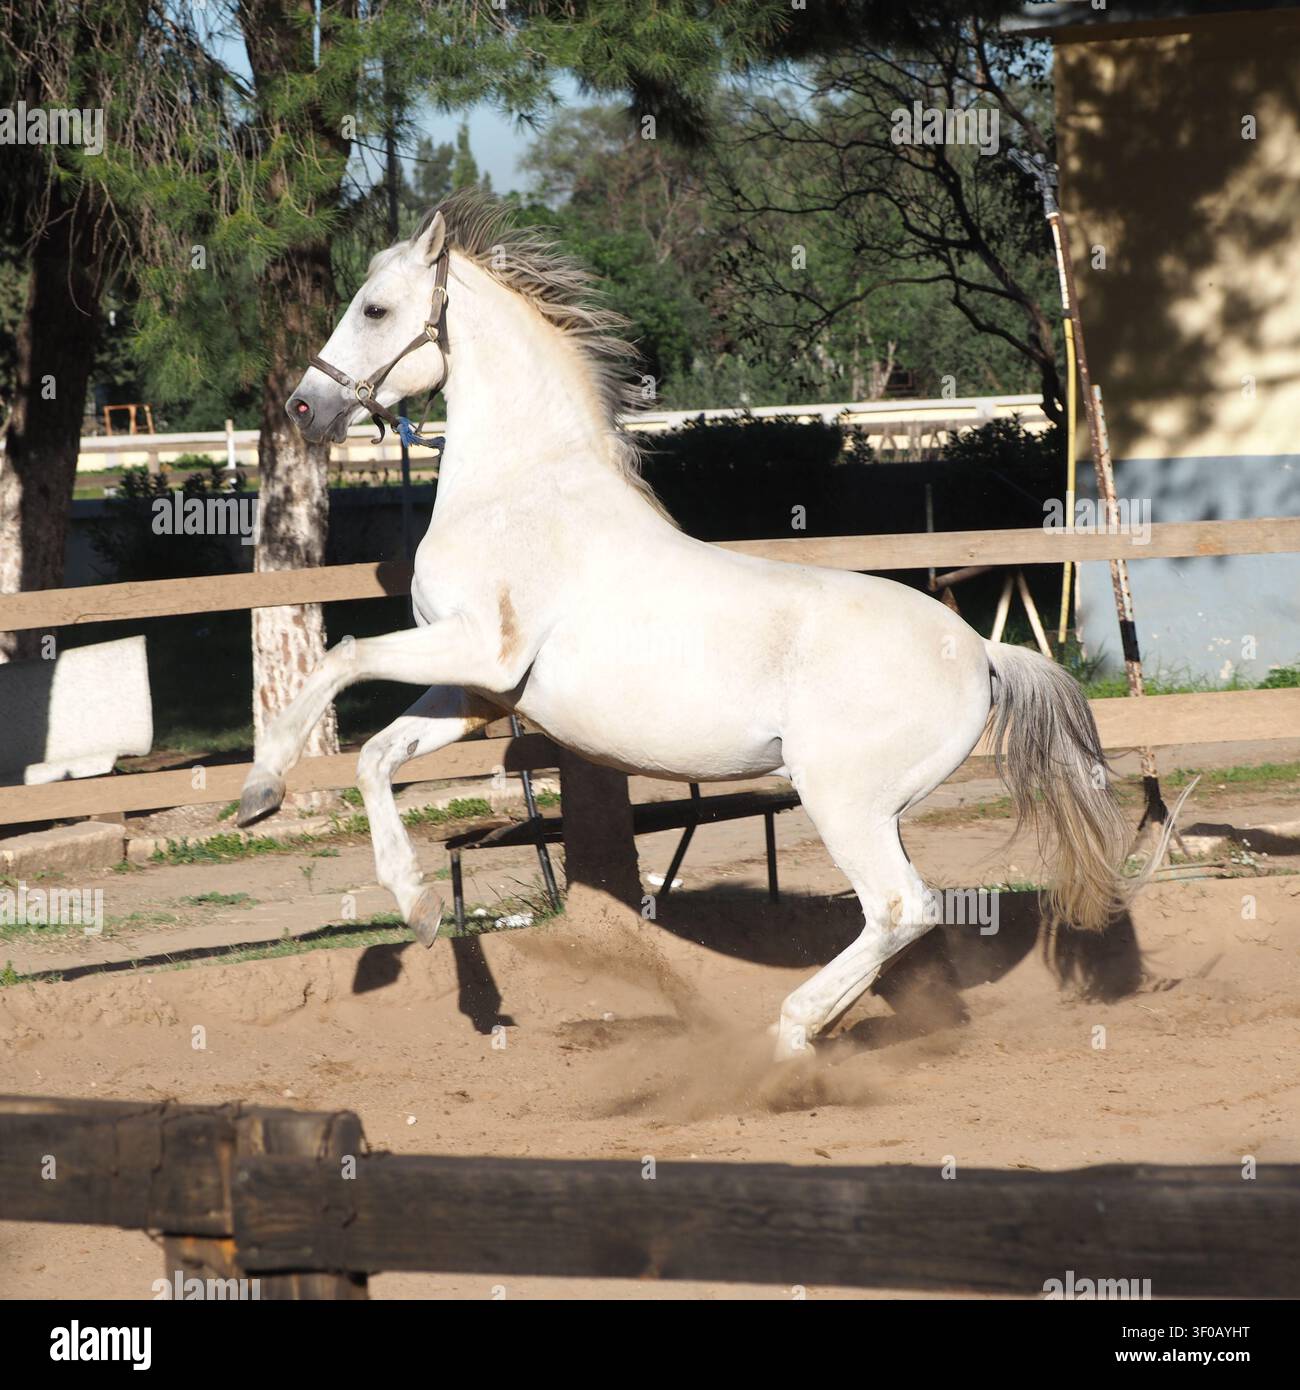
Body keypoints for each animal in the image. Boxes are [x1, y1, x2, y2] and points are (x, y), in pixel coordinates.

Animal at [240, 189, 1144, 1061]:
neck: (521, 488)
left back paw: (786, 1040)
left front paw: (258, 792)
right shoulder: (481, 694)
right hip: (878, 808)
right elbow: (377, 757)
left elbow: (341, 657)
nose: (304, 406)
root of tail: (981, 650)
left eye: (376, 309)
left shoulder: (479, 652)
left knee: (899, 907)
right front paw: (419, 908)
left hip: (842, 798)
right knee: (907, 916)